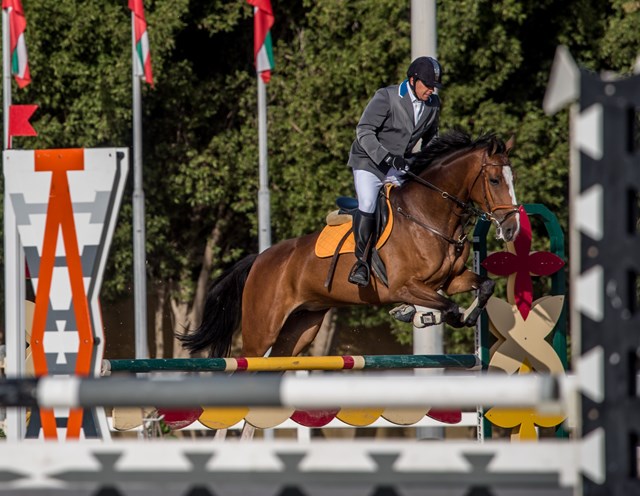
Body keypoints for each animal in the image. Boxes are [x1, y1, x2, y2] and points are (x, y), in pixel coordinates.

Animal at [180, 129, 521, 359]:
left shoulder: (449, 280)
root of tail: (259, 260)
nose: (511, 228)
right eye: (494, 180)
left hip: (301, 328)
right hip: (261, 330)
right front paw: (426, 315)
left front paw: (464, 316)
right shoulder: (405, 286)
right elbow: (447, 306)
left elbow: (484, 286)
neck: (428, 217)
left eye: (512, 178)